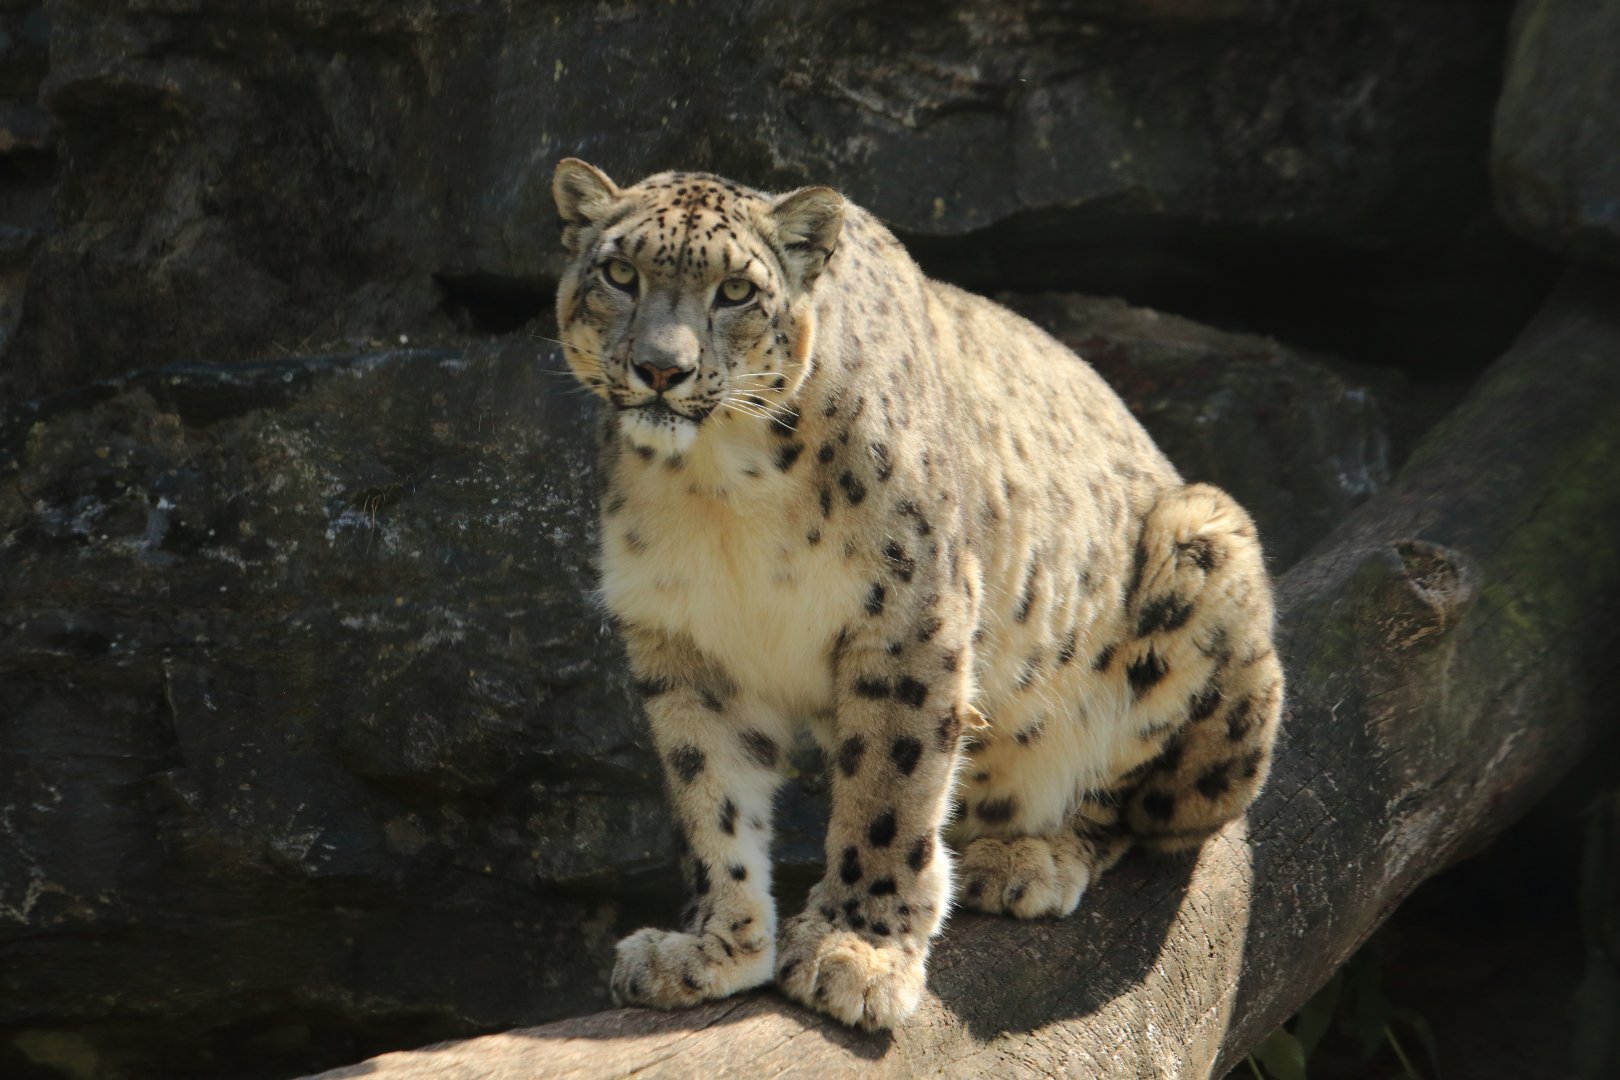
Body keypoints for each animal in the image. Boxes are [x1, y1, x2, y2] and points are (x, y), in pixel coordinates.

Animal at [550, 158, 1285, 1031]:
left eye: (735, 291)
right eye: (620, 275)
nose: (663, 368)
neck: (718, 487)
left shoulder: (904, 618)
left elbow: (888, 789)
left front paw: (856, 952)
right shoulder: (686, 645)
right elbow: (711, 798)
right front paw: (711, 947)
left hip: (1206, 546)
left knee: (1143, 806)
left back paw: (1027, 854)